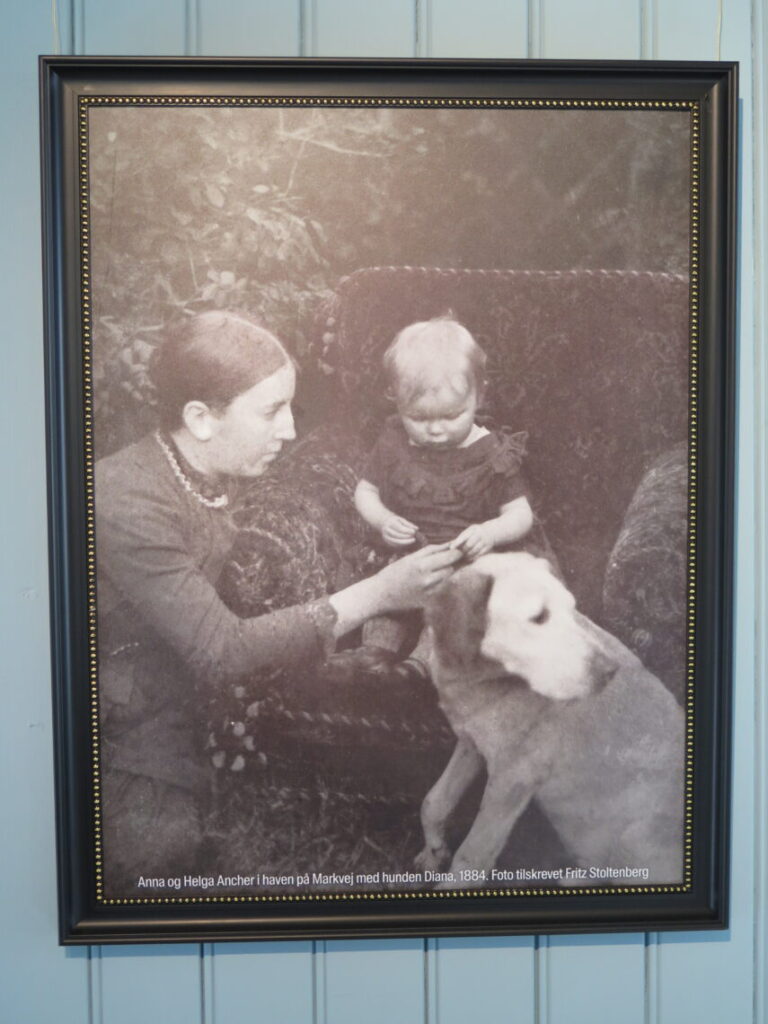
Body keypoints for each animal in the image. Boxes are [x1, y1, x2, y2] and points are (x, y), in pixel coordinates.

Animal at [417, 552, 688, 888]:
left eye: (572, 609)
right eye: (539, 617)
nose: (610, 671)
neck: (488, 679)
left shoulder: (513, 778)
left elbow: (472, 855)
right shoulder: (472, 745)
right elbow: (434, 804)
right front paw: (433, 853)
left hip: (635, 838)